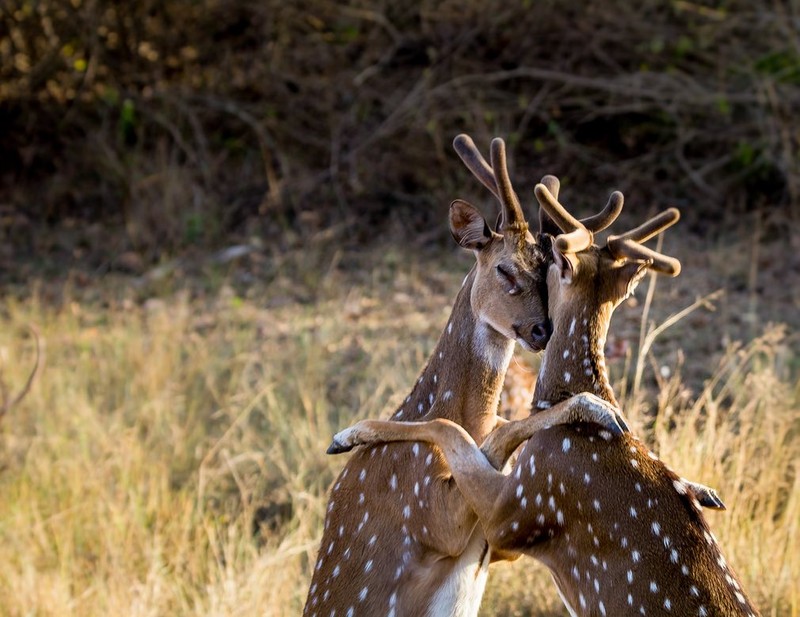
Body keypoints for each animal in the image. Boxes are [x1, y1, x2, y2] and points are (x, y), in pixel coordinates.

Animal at [300, 136, 624, 616]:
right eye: (504, 269)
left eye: (548, 271)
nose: (542, 330)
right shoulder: (430, 515)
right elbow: (470, 431)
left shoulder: (497, 537)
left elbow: (499, 429)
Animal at [326, 183, 756, 616]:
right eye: (509, 270)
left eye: (545, 267)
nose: (539, 330)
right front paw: (702, 490)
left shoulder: (516, 509)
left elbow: (452, 427)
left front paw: (348, 434)